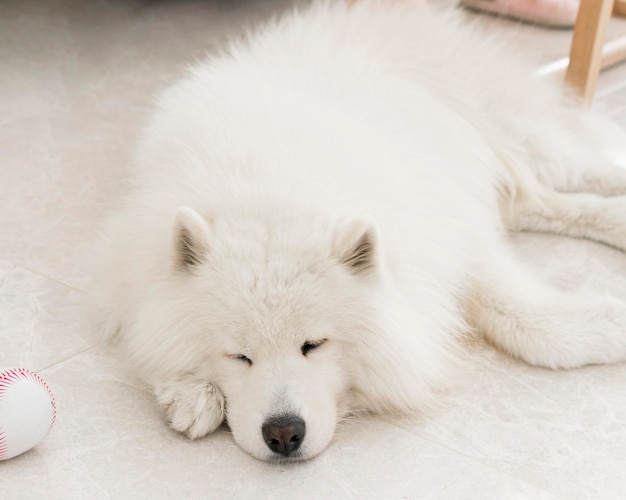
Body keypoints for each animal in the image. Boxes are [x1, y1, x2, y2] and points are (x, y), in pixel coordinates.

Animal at [90, 0, 624, 462]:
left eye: (314, 345)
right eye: (239, 356)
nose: (283, 433)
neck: (270, 193)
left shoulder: (449, 232)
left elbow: (520, 318)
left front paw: (605, 324)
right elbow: (149, 335)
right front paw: (191, 394)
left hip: (517, 135)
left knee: (584, 170)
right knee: (547, 204)